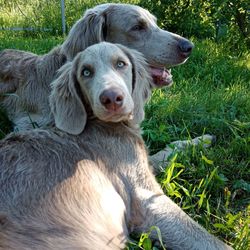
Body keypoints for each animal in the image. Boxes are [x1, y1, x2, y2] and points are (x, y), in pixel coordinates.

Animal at [0, 42, 231, 249]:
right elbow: (212, 242)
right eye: (86, 72)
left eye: (121, 64)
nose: (112, 98)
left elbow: (166, 151)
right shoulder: (145, 201)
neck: (99, 123)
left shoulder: (139, 162)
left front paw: (202, 140)